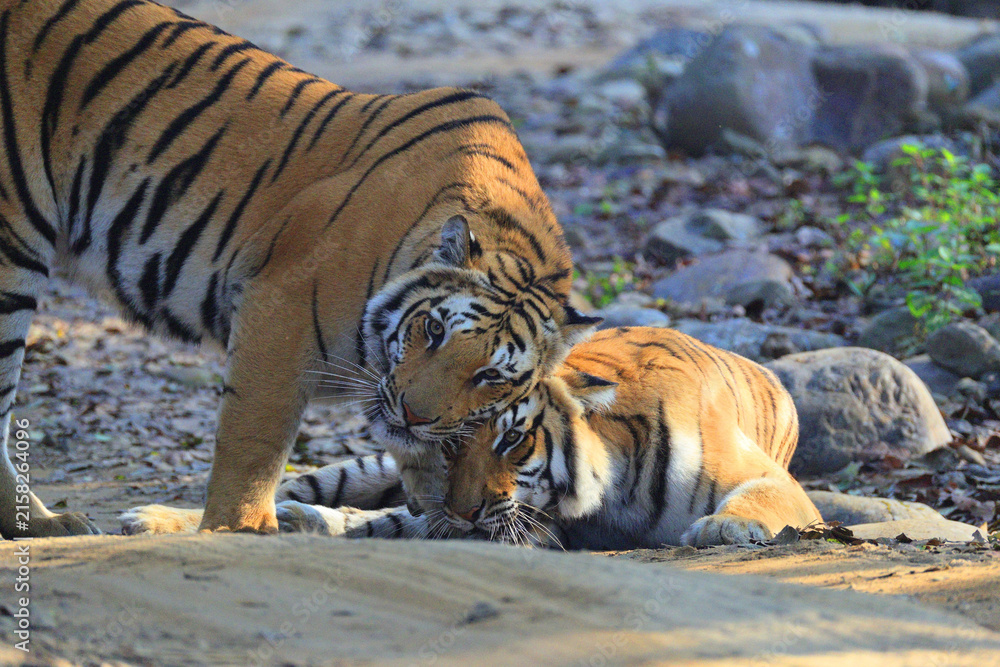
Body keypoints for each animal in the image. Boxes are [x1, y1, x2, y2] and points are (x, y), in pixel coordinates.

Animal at [0, 0, 596, 539]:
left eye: (490, 375)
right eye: (432, 330)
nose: (413, 415)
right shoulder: (277, 307)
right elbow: (256, 439)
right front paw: (240, 528)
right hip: (14, 249)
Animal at [154, 327, 822, 548]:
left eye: (512, 442)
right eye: (451, 444)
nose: (463, 509)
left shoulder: (775, 482)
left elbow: (758, 498)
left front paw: (725, 527)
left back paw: (310, 523)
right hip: (372, 468)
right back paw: (155, 518)